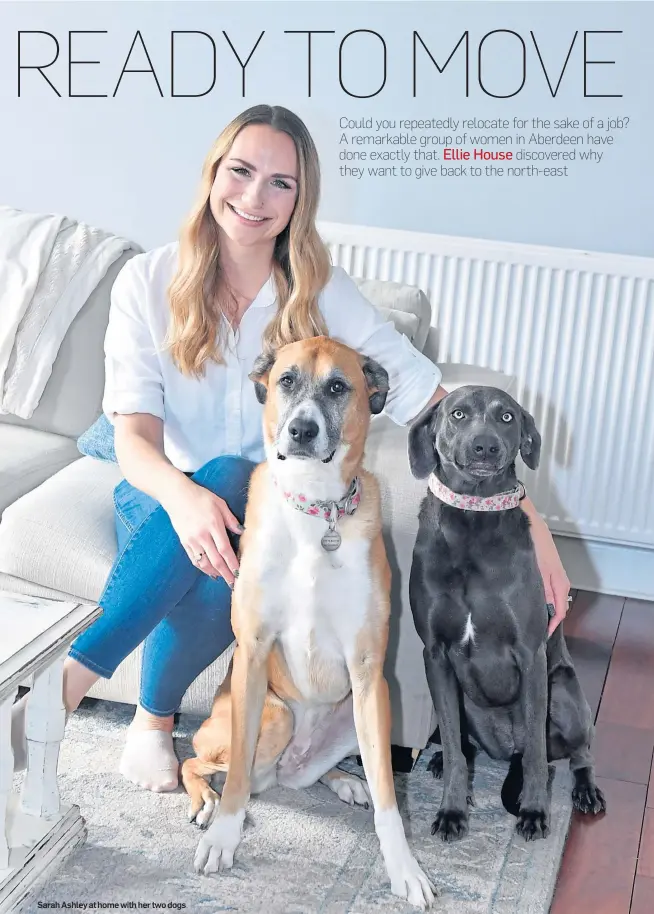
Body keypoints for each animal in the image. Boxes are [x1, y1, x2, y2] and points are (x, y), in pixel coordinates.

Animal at [184, 338, 438, 908]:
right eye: (287, 380)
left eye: (338, 387)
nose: (301, 430)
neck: (316, 510)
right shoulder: (254, 650)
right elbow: (234, 779)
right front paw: (223, 839)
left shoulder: (369, 673)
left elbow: (390, 795)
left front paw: (404, 869)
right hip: (272, 716)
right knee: (200, 761)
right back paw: (205, 800)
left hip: (356, 718)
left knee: (311, 776)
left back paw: (344, 781)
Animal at [410, 382, 608, 840]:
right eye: (458, 414)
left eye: (507, 417)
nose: (485, 446)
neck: (472, 519)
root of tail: (502, 750)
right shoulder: (436, 656)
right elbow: (454, 746)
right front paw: (451, 810)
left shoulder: (530, 655)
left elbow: (535, 753)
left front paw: (534, 812)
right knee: (462, 744)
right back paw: (442, 759)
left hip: (567, 697)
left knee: (575, 754)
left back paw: (585, 791)